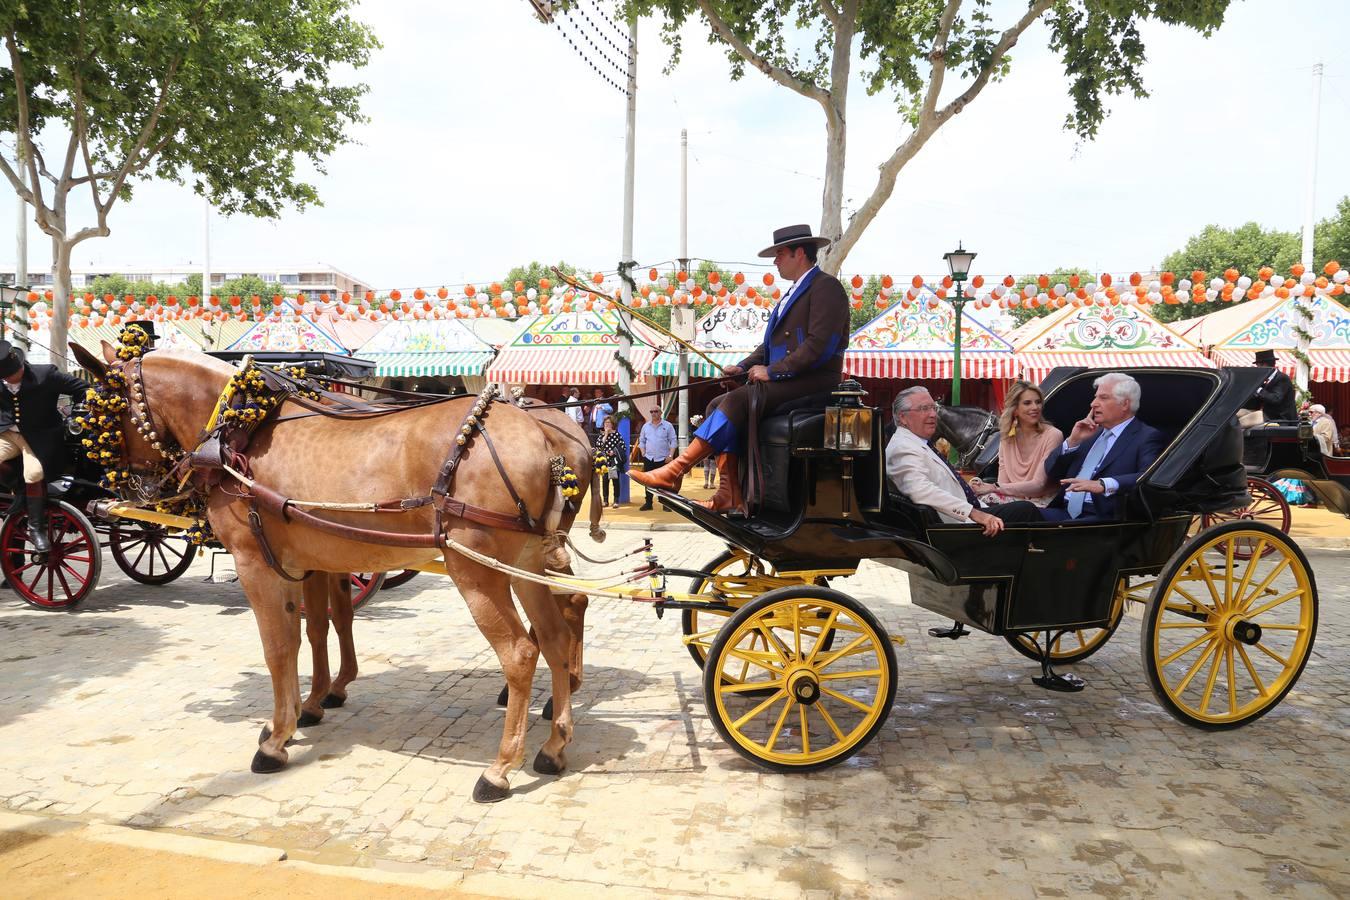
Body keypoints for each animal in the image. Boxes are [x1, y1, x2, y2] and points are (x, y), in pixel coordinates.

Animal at [73, 345, 577, 804]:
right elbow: (306, 635)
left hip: (476, 570)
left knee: (520, 653)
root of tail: (541, 437)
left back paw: (500, 769)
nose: (127, 489)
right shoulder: (299, 565)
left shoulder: (255, 564)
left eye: (98, 411)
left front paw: (277, 741)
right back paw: (554, 745)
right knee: (554, 636)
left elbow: (277, 648)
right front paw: (297, 714)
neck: (239, 429)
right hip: (525, 565)